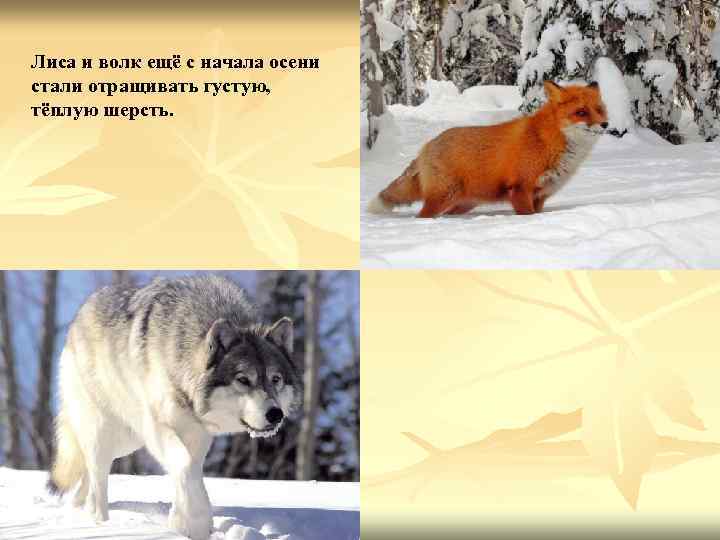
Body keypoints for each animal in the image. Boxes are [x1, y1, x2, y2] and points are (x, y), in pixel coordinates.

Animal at [47, 275, 302, 540]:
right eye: (243, 379)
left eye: (275, 379)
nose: (275, 414)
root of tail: (80, 314)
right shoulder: (158, 428)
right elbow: (185, 465)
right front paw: (196, 521)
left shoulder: (198, 434)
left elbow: (191, 473)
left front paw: (183, 523)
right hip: (107, 434)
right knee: (97, 479)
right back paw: (100, 523)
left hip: (127, 441)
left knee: (87, 474)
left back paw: (78, 507)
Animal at [368, 80, 608, 218]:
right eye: (581, 112)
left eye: (599, 110)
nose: (606, 125)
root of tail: (426, 146)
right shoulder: (520, 189)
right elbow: (527, 215)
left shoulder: (540, 195)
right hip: (443, 197)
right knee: (422, 216)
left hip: (463, 204)